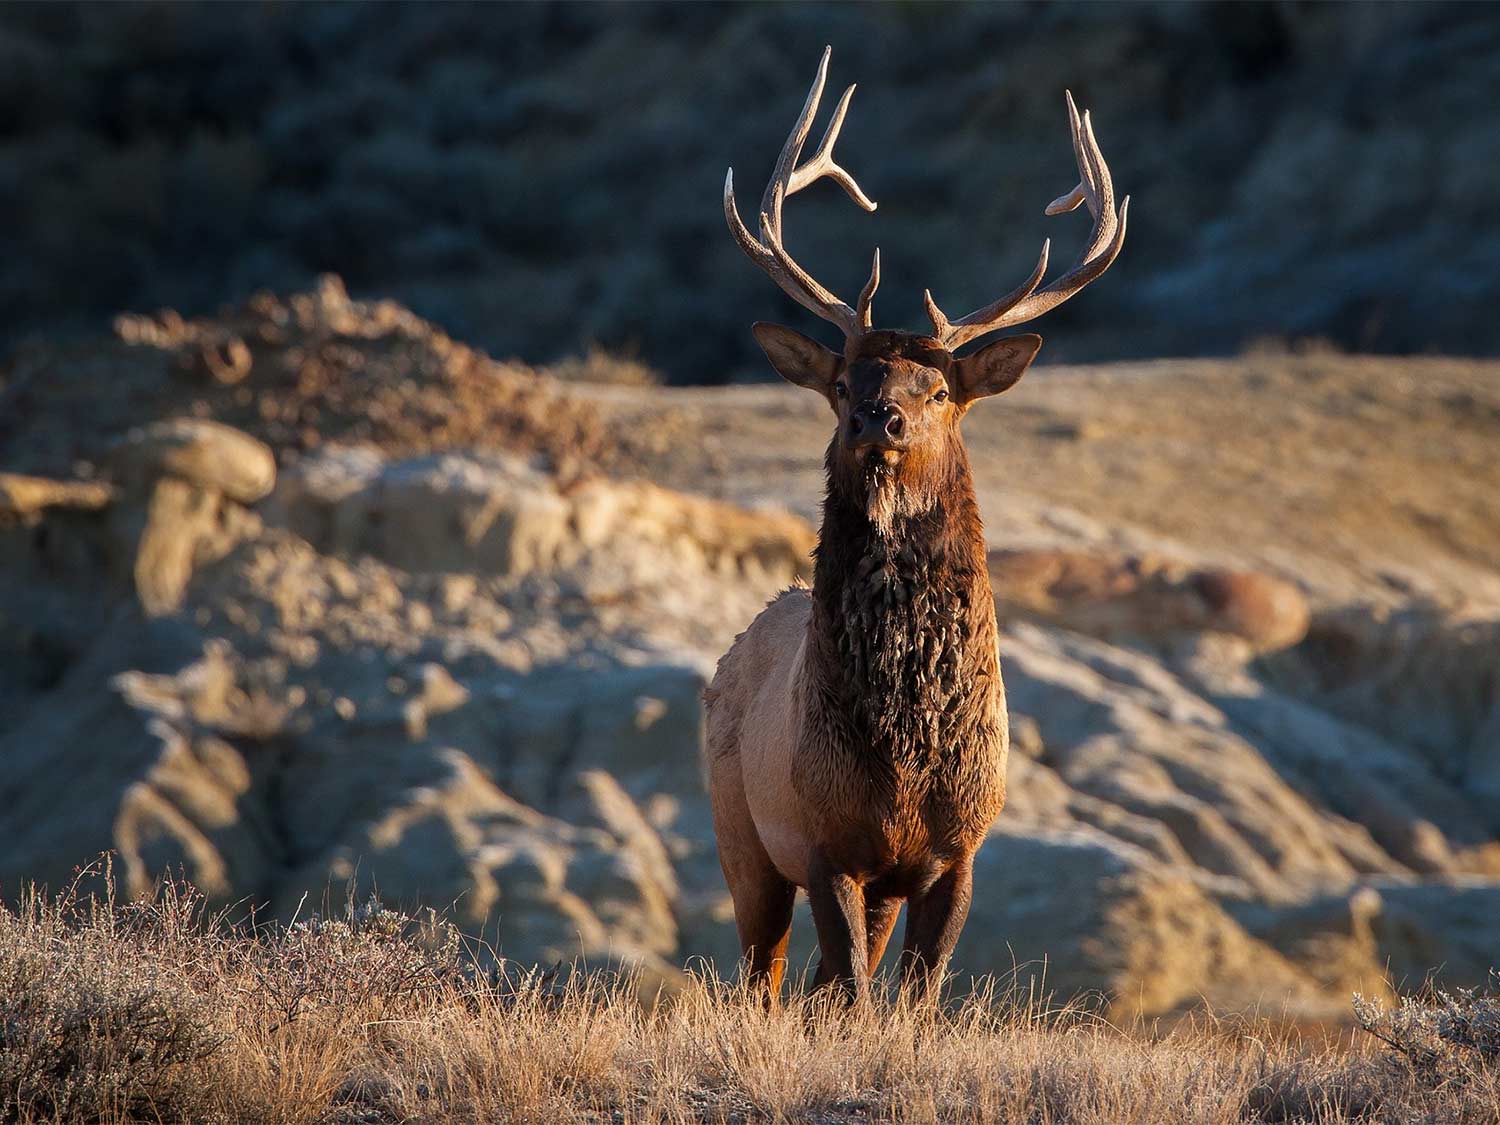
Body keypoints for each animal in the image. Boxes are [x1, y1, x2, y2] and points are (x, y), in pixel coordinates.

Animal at [703, 47, 1128, 1003]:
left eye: (937, 389)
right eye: (841, 381)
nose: (877, 417)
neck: (905, 751)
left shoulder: (957, 848)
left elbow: (915, 998)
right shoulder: (825, 839)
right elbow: (858, 994)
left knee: (812, 983)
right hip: (741, 834)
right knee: (765, 975)